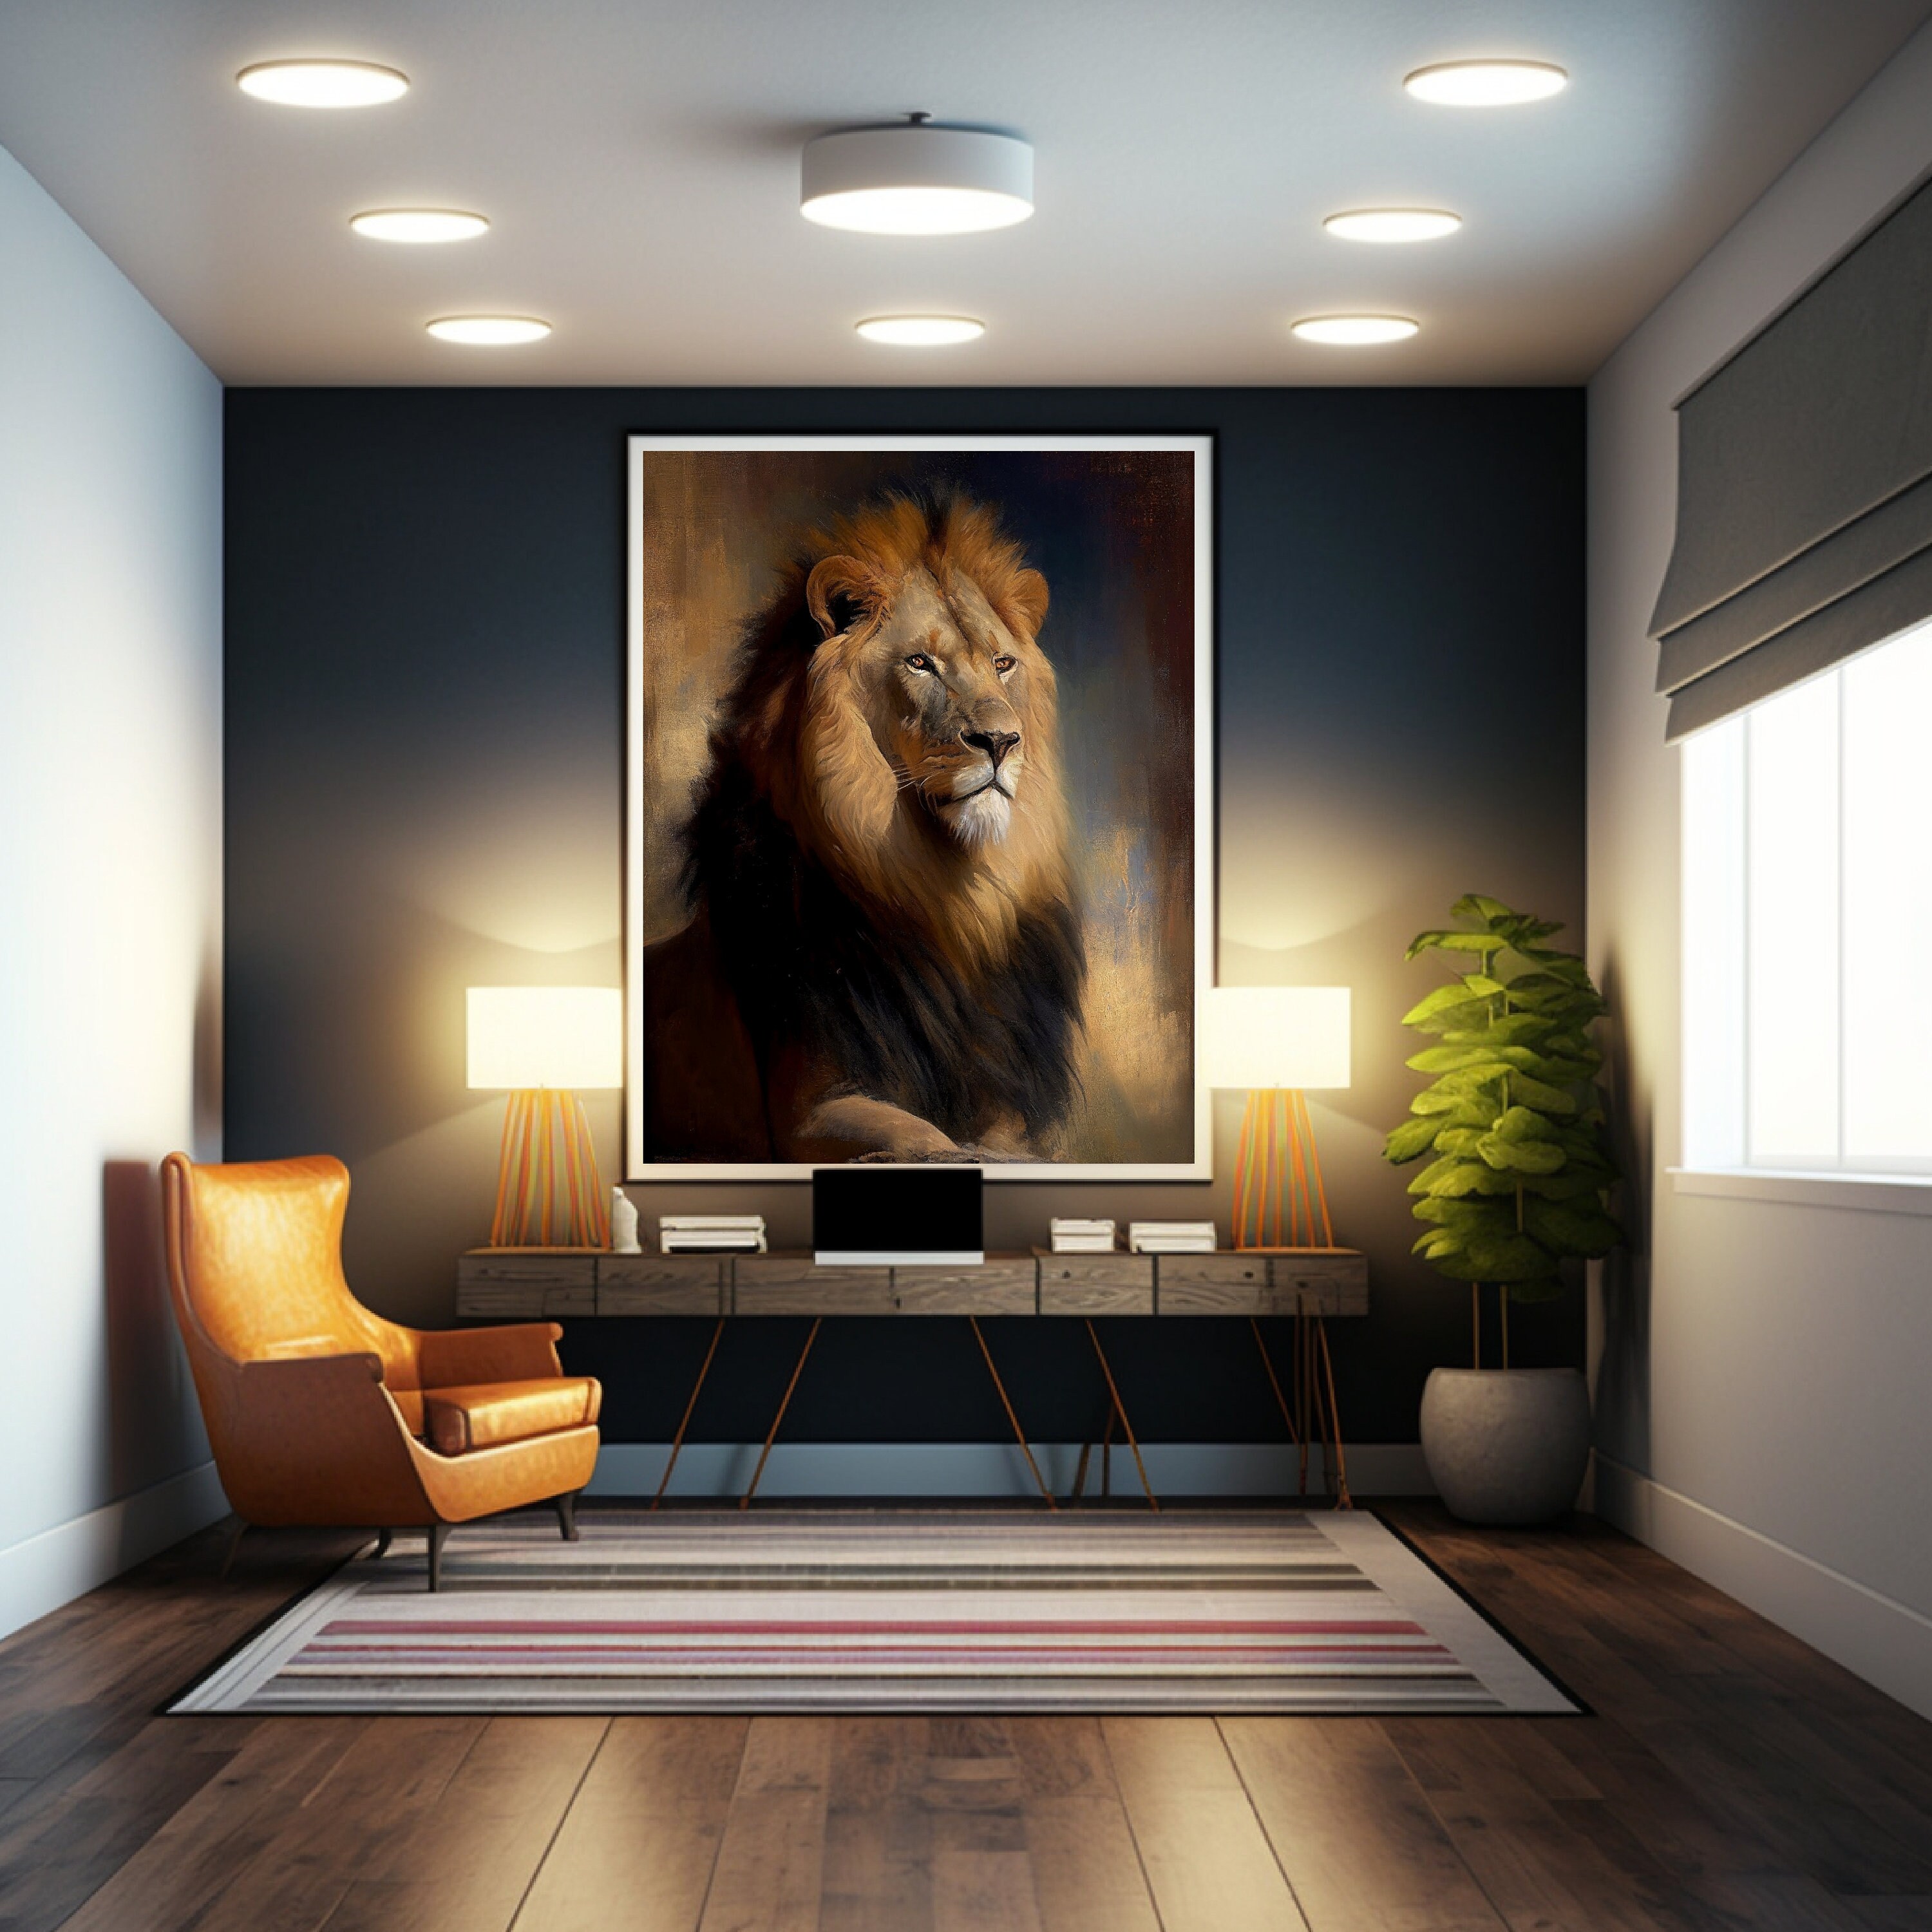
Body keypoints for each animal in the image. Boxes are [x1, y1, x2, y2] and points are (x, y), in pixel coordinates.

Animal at [638, 491, 1085, 1164]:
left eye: (1003, 663)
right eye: (920, 663)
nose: (1002, 741)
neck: (946, 894)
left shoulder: (1006, 1109)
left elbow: (1001, 1147)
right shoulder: (811, 1108)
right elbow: (931, 1144)